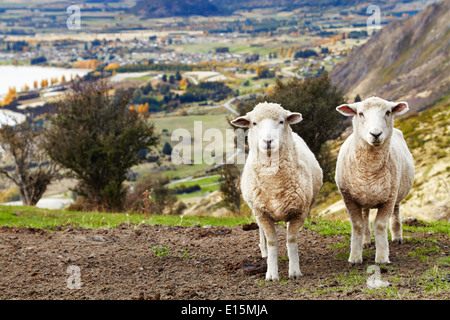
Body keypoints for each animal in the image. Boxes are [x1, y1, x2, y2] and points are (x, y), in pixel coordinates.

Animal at [232, 102, 324, 280]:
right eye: (254, 123)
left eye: (281, 121)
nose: (268, 141)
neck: (274, 184)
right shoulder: (261, 213)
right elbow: (272, 241)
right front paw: (271, 273)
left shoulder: (299, 212)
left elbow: (291, 239)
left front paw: (294, 271)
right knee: (262, 233)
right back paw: (264, 252)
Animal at [336, 97, 414, 264]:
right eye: (360, 113)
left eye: (388, 112)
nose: (376, 134)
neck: (370, 172)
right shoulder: (350, 199)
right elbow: (358, 225)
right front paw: (355, 257)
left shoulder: (389, 199)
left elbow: (380, 225)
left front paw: (382, 257)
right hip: (364, 196)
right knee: (365, 217)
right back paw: (366, 241)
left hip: (396, 193)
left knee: (396, 213)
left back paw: (397, 237)